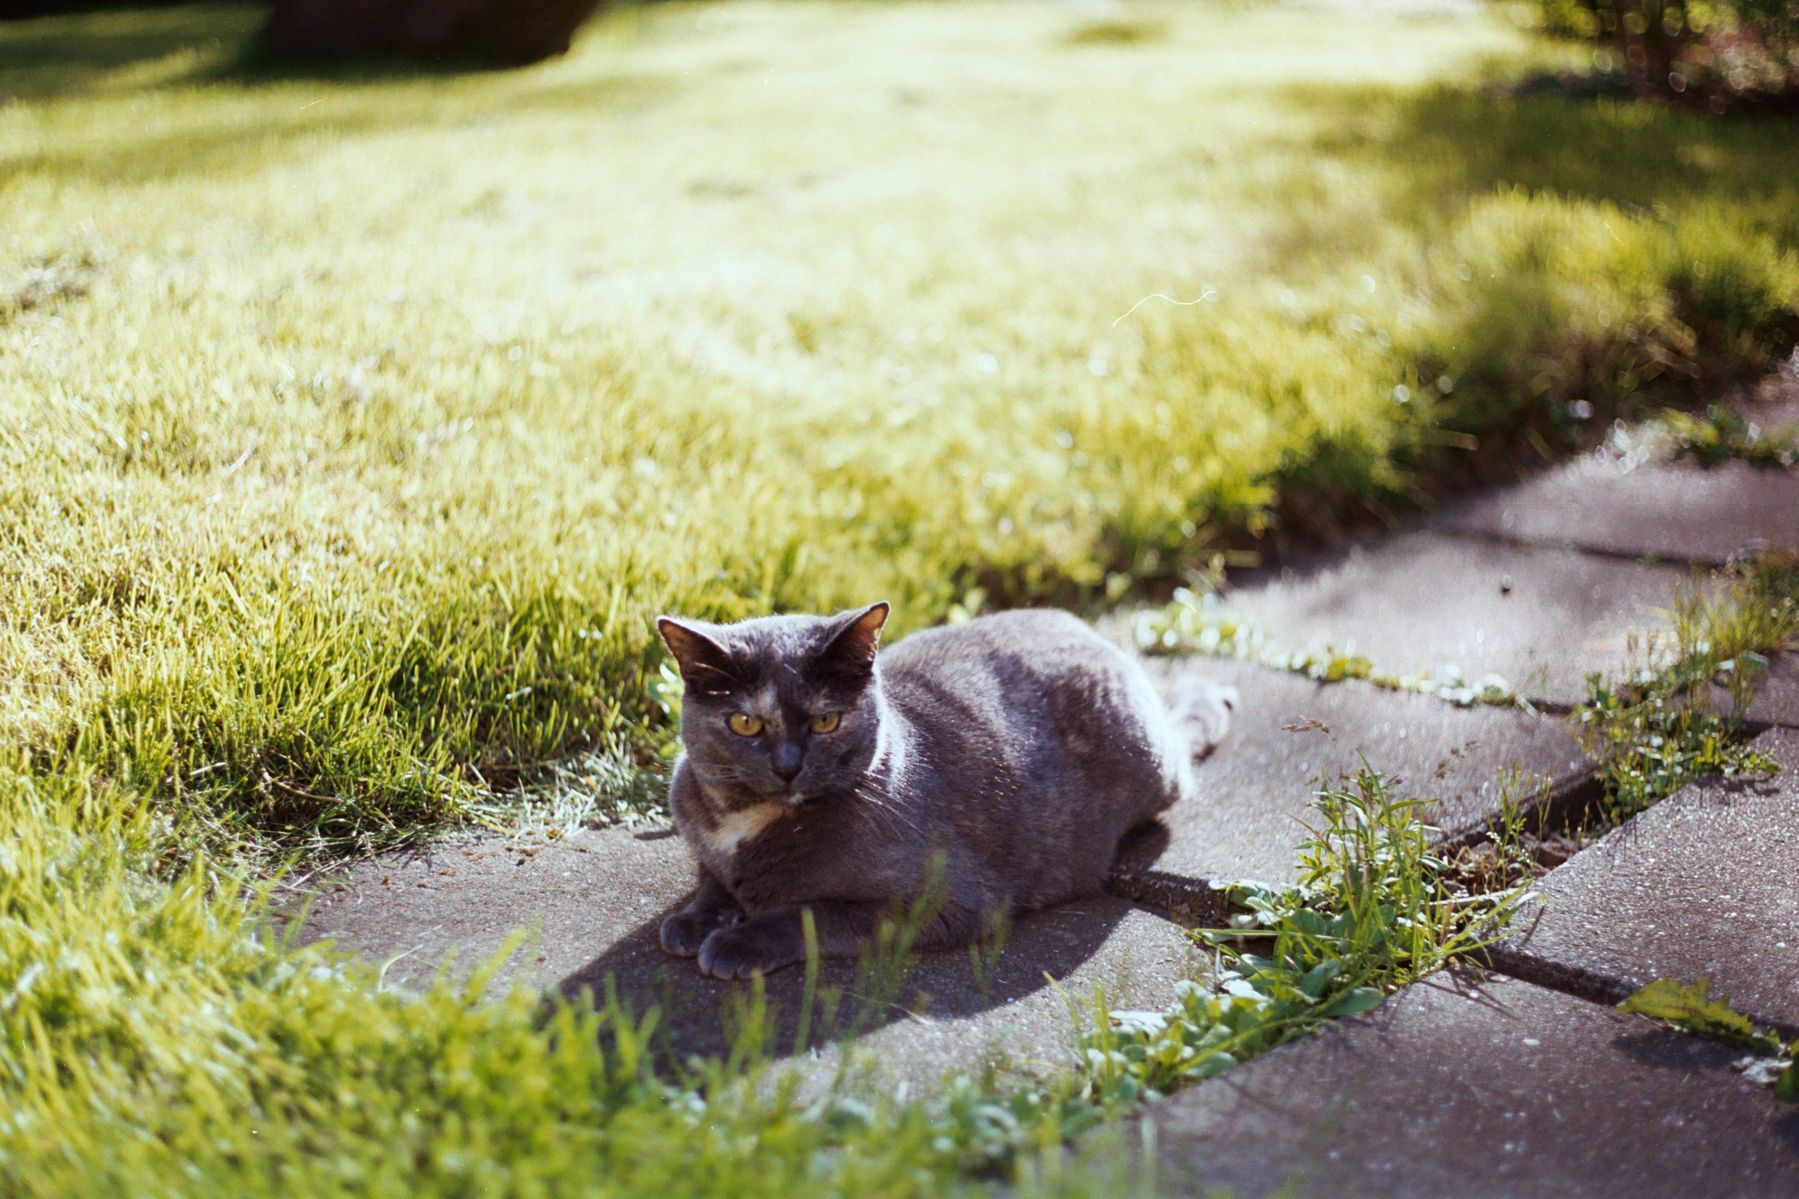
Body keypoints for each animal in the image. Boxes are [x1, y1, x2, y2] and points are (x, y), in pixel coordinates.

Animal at [654, 601, 1230, 979]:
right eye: (745, 724)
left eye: (825, 721)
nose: (788, 767)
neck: (748, 822)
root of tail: (1088, 630)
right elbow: (712, 878)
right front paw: (694, 919)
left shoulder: (946, 902)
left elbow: (810, 913)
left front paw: (736, 942)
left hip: (1156, 764)